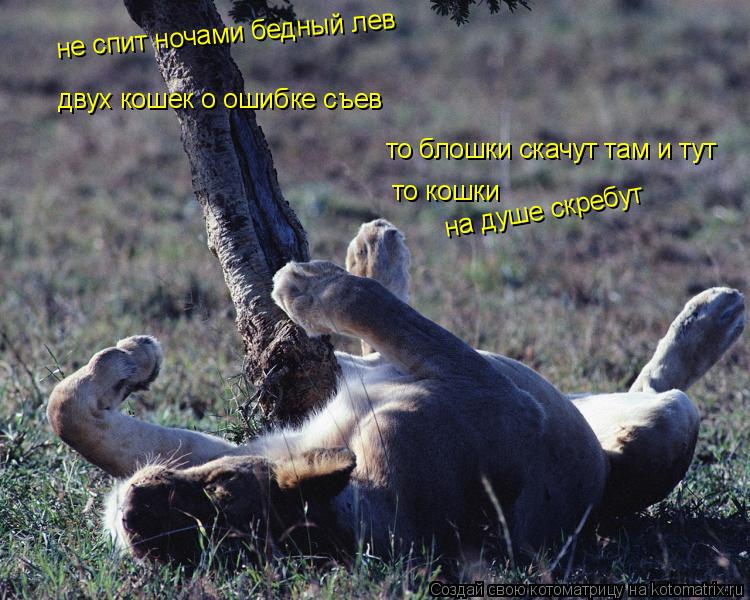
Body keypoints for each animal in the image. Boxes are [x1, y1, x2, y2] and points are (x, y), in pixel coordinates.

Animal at [46, 219, 746, 564]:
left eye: (221, 493)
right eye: (195, 554)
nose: (135, 517)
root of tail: (608, 478)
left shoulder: (476, 380)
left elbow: (371, 307)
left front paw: (298, 283)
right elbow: (68, 415)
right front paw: (134, 360)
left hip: (665, 420)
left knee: (660, 383)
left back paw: (717, 312)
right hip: (640, 421)